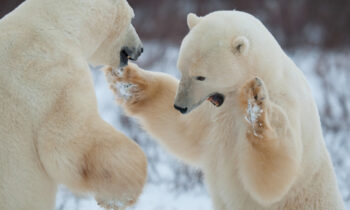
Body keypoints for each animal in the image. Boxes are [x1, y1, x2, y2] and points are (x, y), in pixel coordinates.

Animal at [0, 0, 146, 210]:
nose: (140, 49)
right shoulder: (53, 73)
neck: (58, 24)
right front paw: (123, 192)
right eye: (132, 18)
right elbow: (71, 142)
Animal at [104, 10, 344, 210]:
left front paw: (257, 108)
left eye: (201, 76)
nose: (180, 105)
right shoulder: (215, 112)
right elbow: (186, 131)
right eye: (181, 69)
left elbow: (271, 181)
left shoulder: (287, 105)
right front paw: (129, 80)